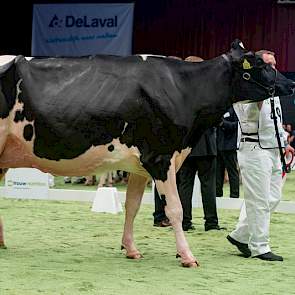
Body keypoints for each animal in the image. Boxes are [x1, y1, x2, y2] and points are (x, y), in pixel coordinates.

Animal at [0, 40, 294, 268]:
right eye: (261, 65)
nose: (291, 83)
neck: (184, 89)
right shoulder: (161, 159)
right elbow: (175, 208)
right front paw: (187, 255)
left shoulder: (139, 164)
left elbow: (132, 205)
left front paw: (131, 249)